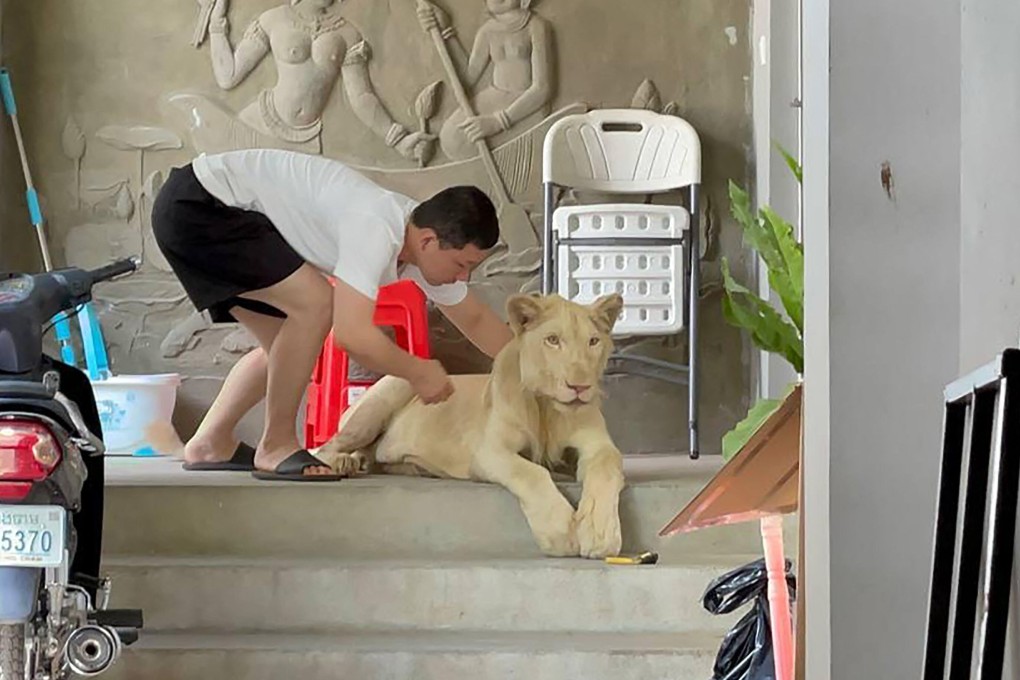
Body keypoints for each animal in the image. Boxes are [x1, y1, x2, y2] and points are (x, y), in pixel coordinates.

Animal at [315, 292, 627, 559]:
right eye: (552, 340)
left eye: (593, 342)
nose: (580, 387)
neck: (547, 409)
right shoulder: (490, 451)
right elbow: (532, 473)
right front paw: (562, 531)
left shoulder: (598, 445)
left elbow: (607, 465)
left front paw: (600, 534)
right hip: (392, 390)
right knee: (326, 446)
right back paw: (340, 463)